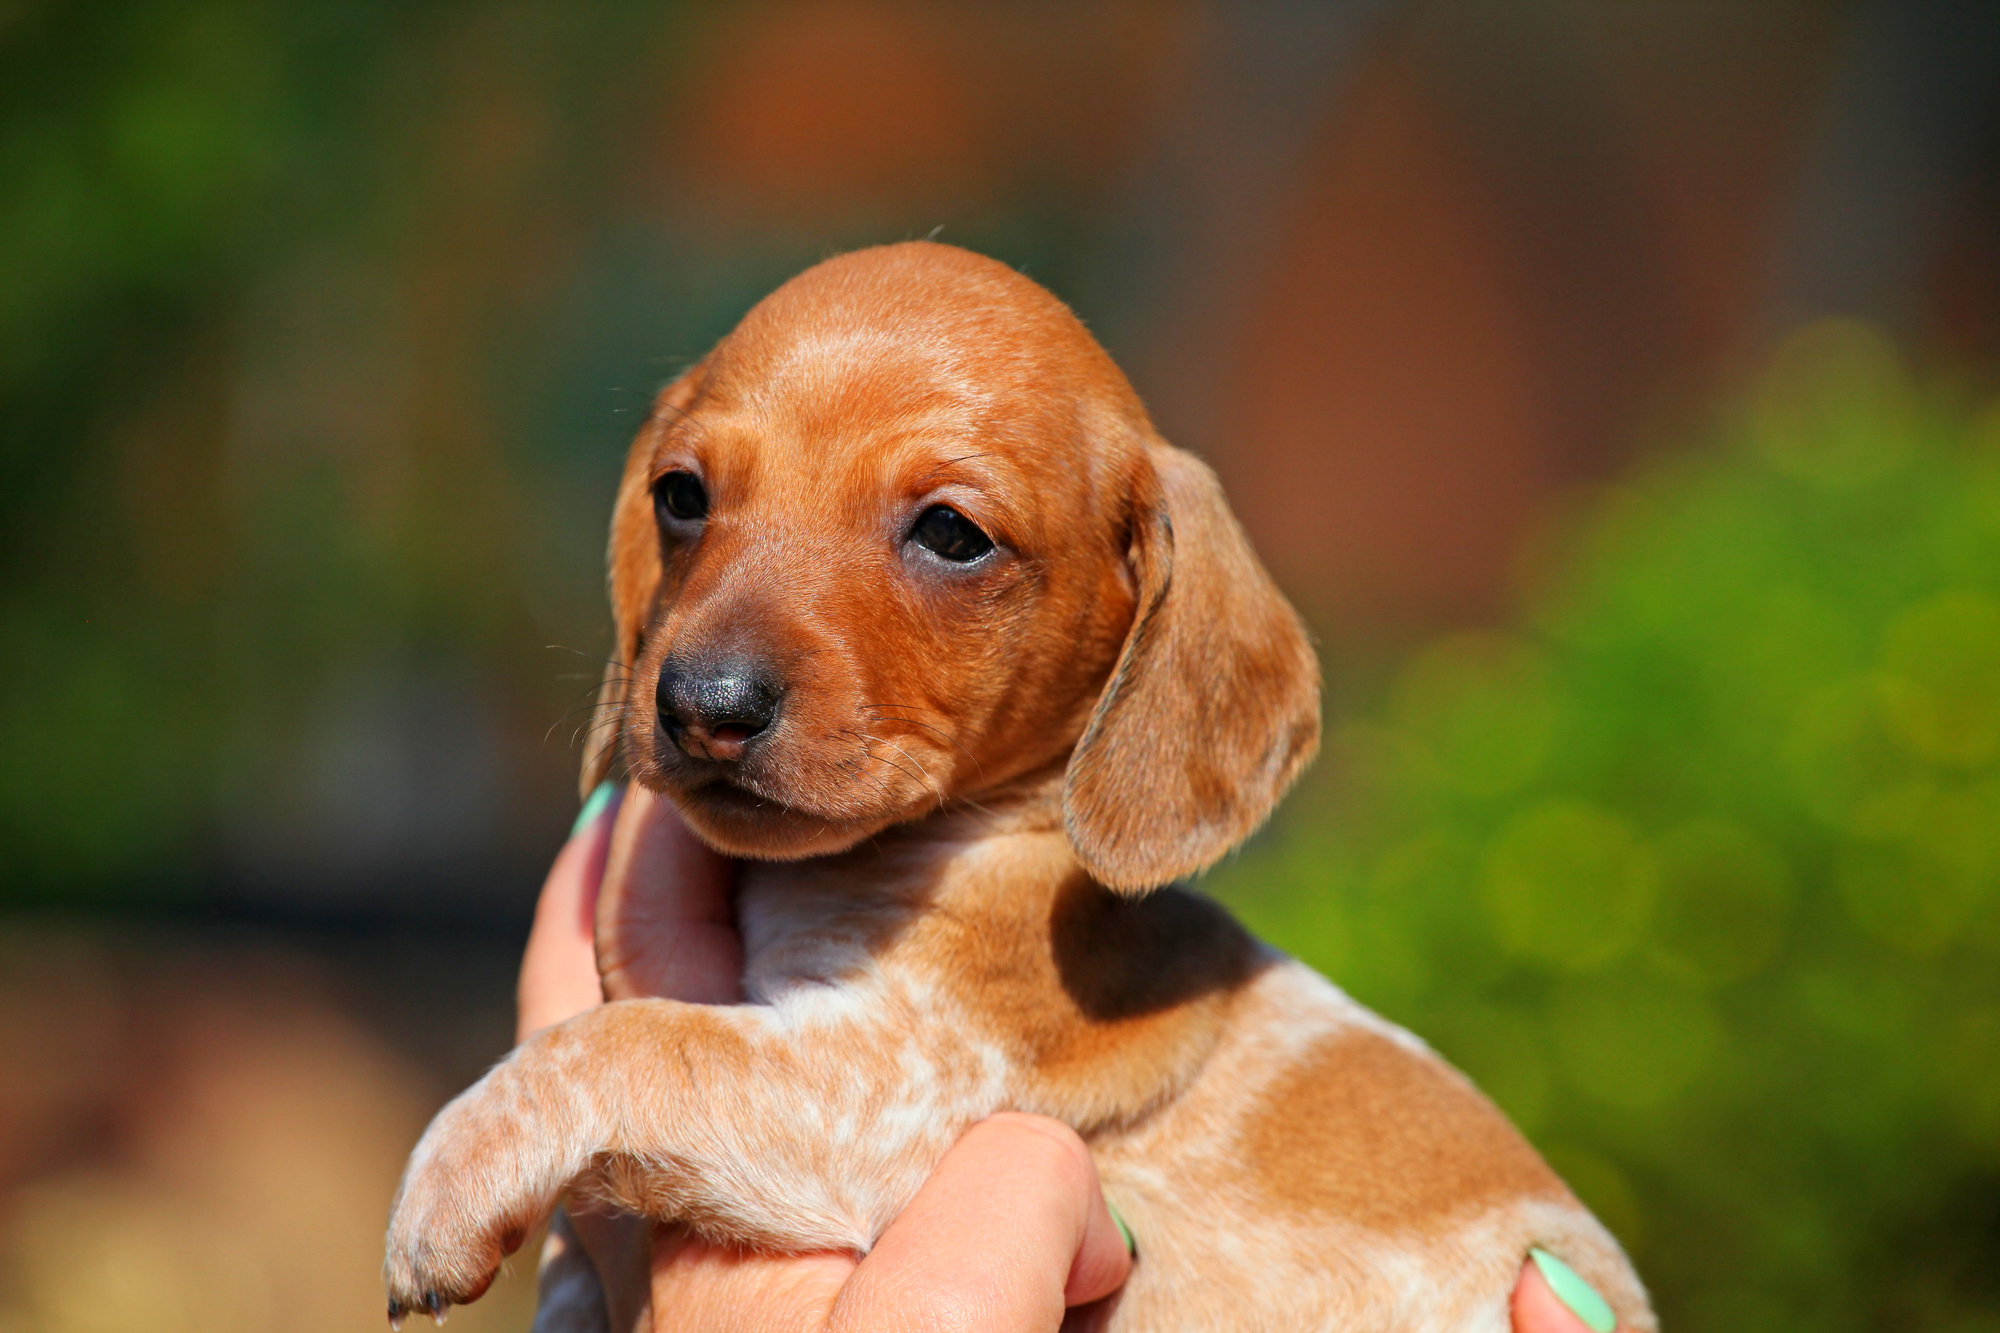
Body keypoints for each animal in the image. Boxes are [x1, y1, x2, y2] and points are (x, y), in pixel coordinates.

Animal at [378, 241, 1656, 1328]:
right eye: (680, 496)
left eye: (950, 534)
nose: (701, 703)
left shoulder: (877, 1083)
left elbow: (622, 1042)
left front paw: (449, 1174)